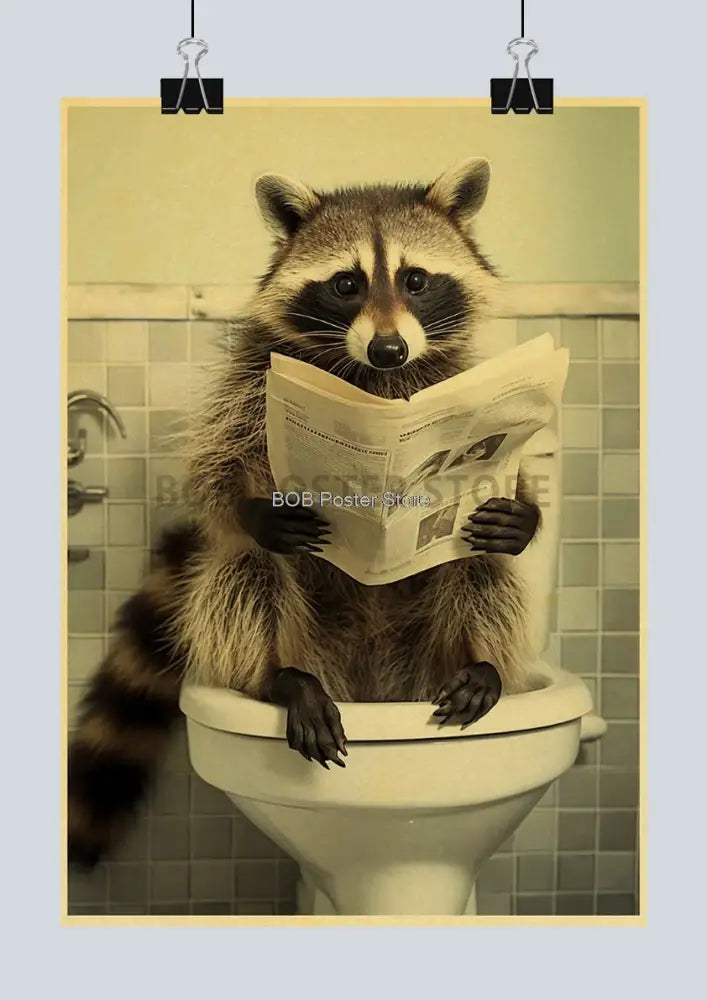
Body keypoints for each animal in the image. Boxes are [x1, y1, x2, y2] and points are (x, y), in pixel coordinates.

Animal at [68, 157, 549, 868]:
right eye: (346, 284)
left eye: (415, 279)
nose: (388, 351)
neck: (373, 381)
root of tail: (372, 686)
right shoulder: (254, 380)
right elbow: (213, 473)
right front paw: (251, 510)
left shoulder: (462, 385)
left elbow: (513, 481)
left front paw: (524, 514)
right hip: (305, 641)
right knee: (244, 571)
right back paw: (279, 676)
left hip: (426, 654)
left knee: (479, 561)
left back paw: (481, 661)